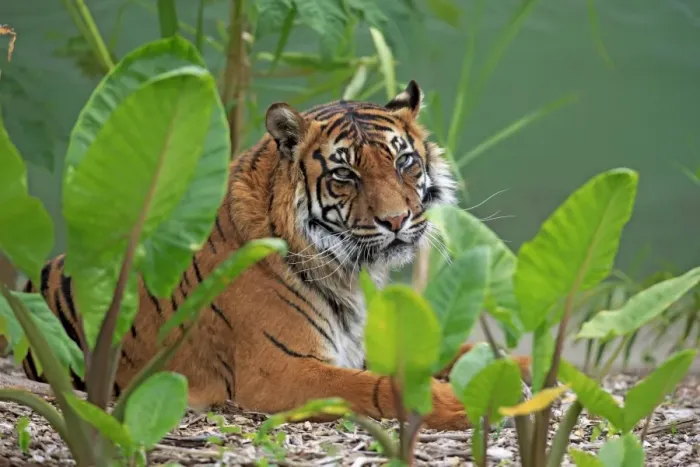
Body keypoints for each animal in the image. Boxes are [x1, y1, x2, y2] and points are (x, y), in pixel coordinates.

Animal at [17, 81, 530, 430]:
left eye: (404, 162)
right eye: (345, 174)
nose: (396, 220)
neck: (347, 272)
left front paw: (521, 368)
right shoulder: (278, 371)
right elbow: (373, 387)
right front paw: (457, 402)